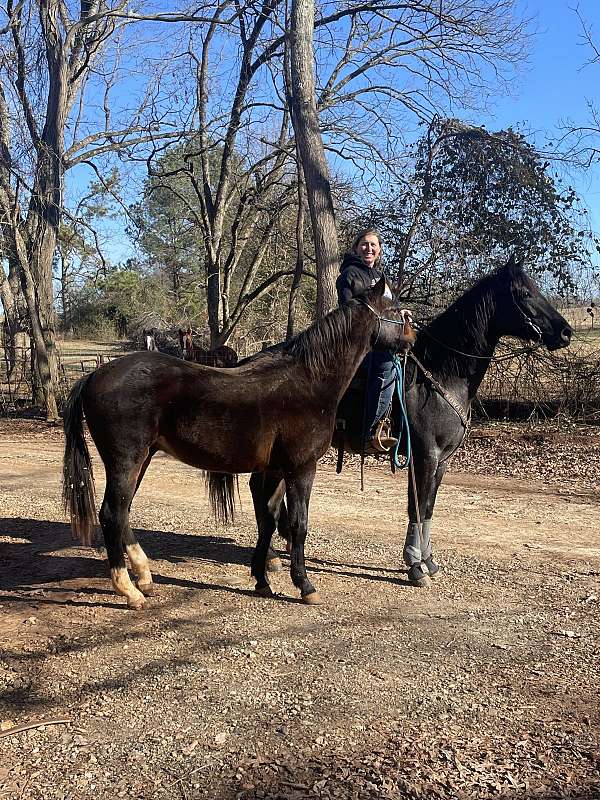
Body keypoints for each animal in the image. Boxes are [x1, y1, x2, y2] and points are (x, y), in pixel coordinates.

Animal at [63, 278, 414, 608]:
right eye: (395, 308)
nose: (411, 338)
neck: (309, 381)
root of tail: (93, 375)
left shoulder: (274, 471)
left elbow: (268, 520)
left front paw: (262, 580)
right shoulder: (301, 469)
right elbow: (297, 524)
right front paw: (304, 585)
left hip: (142, 460)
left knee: (122, 513)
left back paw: (145, 576)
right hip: (126, 461)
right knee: (111, 514)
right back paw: (130, 591)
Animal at [332, 256, 572, 588]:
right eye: (525, 293)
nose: (565, 332)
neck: (439, 374)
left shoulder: (442, 460)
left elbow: (428, 508)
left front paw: (428, 561)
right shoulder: (425, 456)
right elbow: (417, 506)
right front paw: (414, 566)